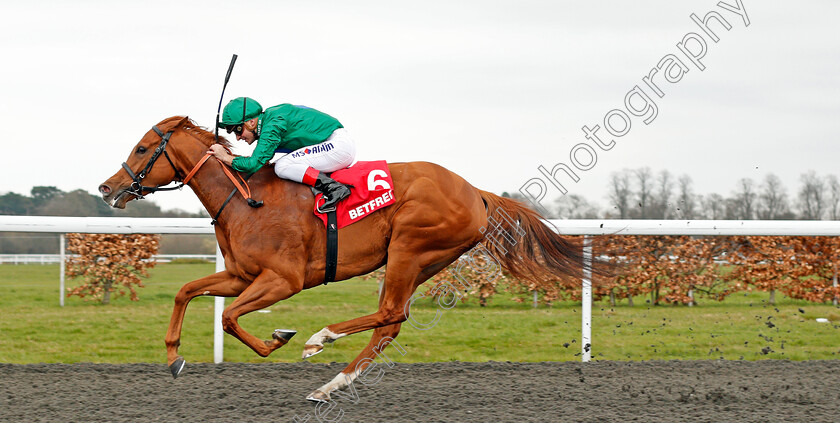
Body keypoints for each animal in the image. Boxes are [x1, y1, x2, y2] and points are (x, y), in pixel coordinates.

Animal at [97, 117, 584, 402]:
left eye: (143, 148)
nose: (107, 187)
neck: (245, 197)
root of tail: (475, 192)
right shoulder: (240, 275)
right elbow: (186, 292)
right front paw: (174, 357)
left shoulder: (283, 279)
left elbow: (230, 318)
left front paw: (280, 338)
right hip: (422, 260)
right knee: (391, 322)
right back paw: (333, 383)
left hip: (409, 247)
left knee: (389, 313)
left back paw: (321, 338)